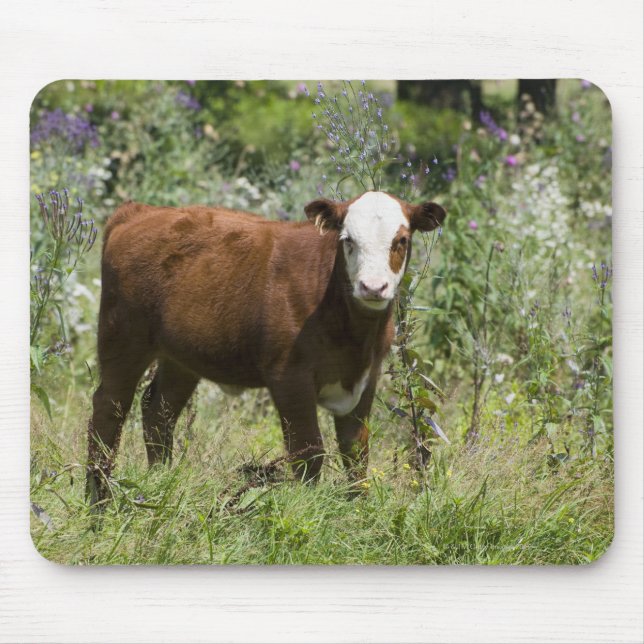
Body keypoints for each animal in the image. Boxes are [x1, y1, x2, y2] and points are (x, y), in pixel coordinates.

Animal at [86, 190, 446, 505]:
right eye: (347, 240)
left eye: (402, 240)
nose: (372, 287)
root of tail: (139, 211)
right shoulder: (288, 375)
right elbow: (308, 450)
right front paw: (308, 508)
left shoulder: (366, 376)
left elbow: (356, 451)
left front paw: (358, 510)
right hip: (122, 337)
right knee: (108, 408)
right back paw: (98, 498)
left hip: (180, 358)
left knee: (158, 411)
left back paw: (159, 483)